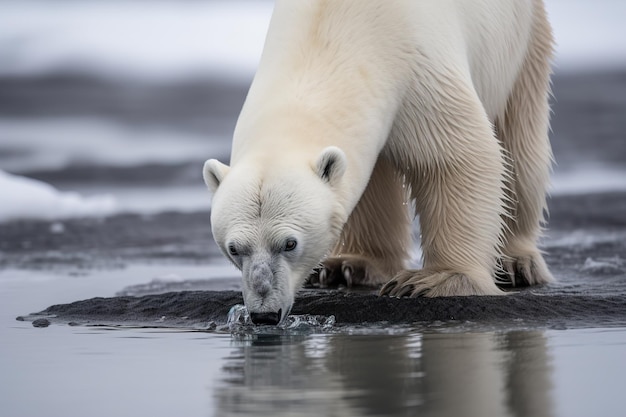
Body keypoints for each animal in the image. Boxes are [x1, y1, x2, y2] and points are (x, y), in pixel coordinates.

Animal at [204, 0, 552, 324]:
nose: (264, 315)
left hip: (523, 40)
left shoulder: (419, 68)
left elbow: (456, 157)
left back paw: (516, 262)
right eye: (234, 248)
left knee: (520, 140)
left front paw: (437, 279)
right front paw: (351, 265)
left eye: (290, 244)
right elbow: (369, 182)